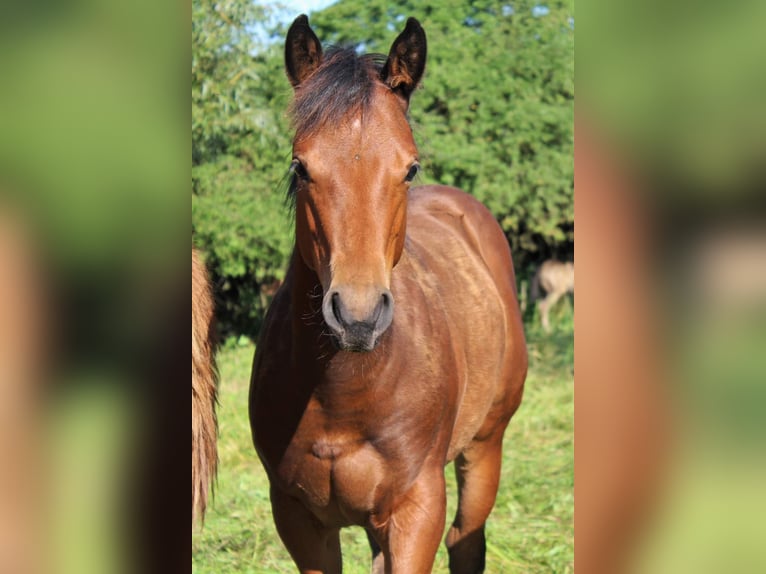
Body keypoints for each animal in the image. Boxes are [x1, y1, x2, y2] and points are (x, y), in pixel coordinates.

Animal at [249, 15, 527, 573]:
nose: (357, 317)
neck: (344, 395)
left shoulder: (416, 511)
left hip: (485, 446)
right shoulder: (297, 518)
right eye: (300, 167)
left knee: (468, 539)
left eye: (410, 168)